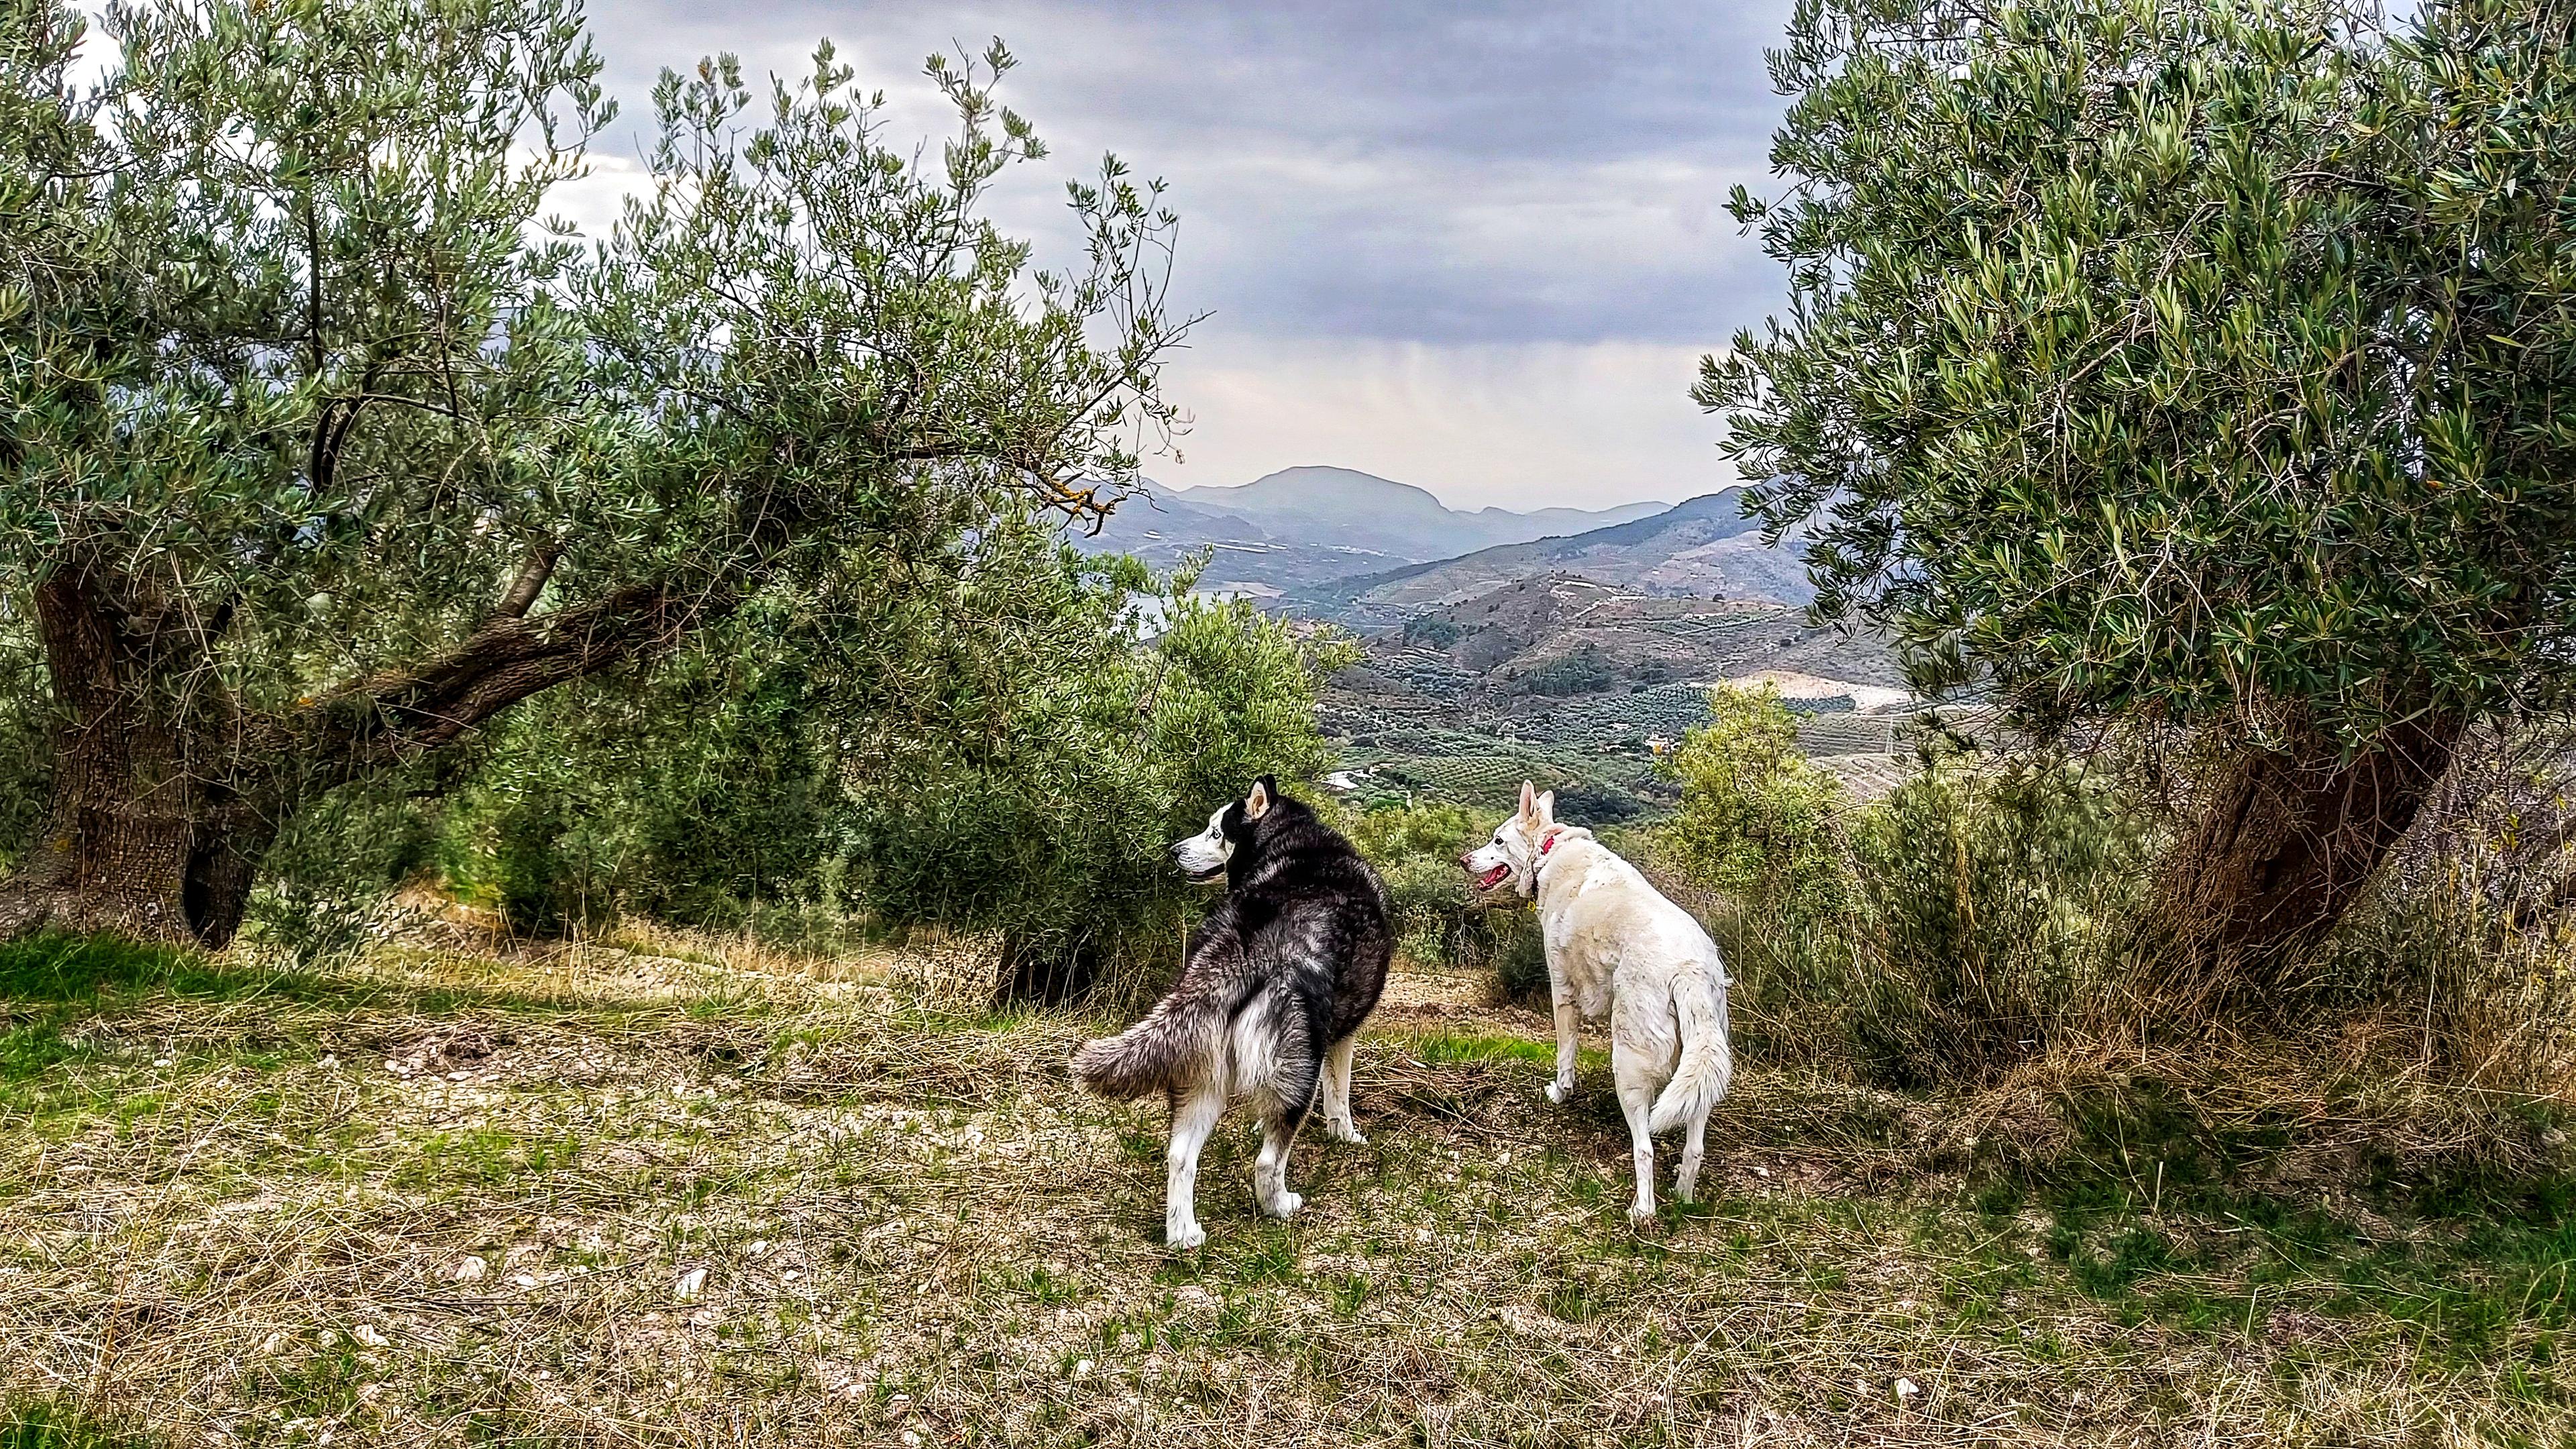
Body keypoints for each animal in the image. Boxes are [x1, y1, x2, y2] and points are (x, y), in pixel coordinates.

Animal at [1463, 778, 1741, 1217]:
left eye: (1498, 840)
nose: (1464, 860)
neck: (1550, 852)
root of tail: (1690, 970)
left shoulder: (1562, 993)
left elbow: (1565, 1056)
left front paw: (1560, 1094)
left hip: (1629, 1062)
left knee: (1644, 1149)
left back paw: (1643, 1209)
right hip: (1700, 1064)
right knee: (1695, 1146)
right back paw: (1682, 1197)